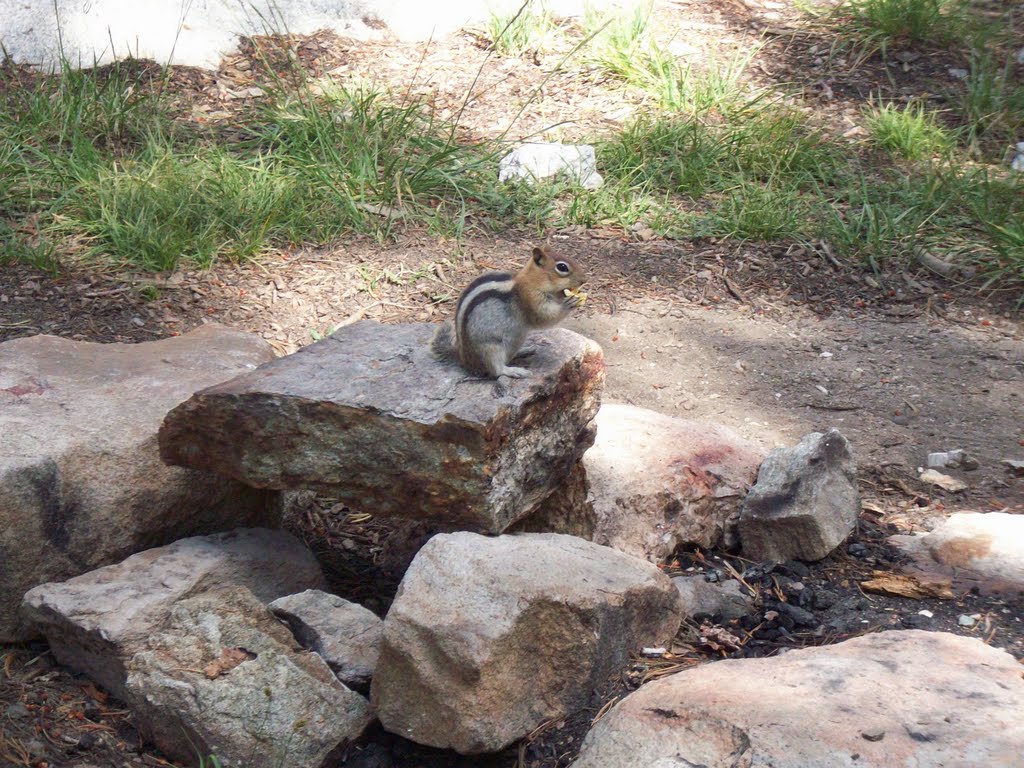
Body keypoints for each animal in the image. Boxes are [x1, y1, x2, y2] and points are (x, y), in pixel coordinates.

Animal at [430, 246, 585, 378]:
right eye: (562, 267)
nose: (584, 280)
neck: (533, 281)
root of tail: (463, 359)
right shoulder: (531, 298)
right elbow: (543, 317)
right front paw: (568, 303)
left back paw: (524, 350)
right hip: (490, 348)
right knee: (497, 370)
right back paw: (515, 371)